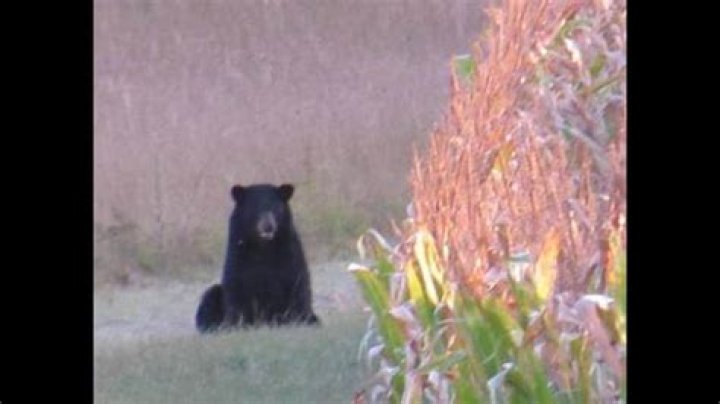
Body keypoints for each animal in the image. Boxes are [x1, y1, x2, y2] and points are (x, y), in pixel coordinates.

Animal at [195, 183, 320, 333]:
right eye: (254, 207)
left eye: (276, 208)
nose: (268, 225)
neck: (263, 246)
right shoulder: (237, 256)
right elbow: (236, 288)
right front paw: (237, 324)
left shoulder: (290, 253)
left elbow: (298, 283)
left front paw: (305, 319)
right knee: (210, 295)